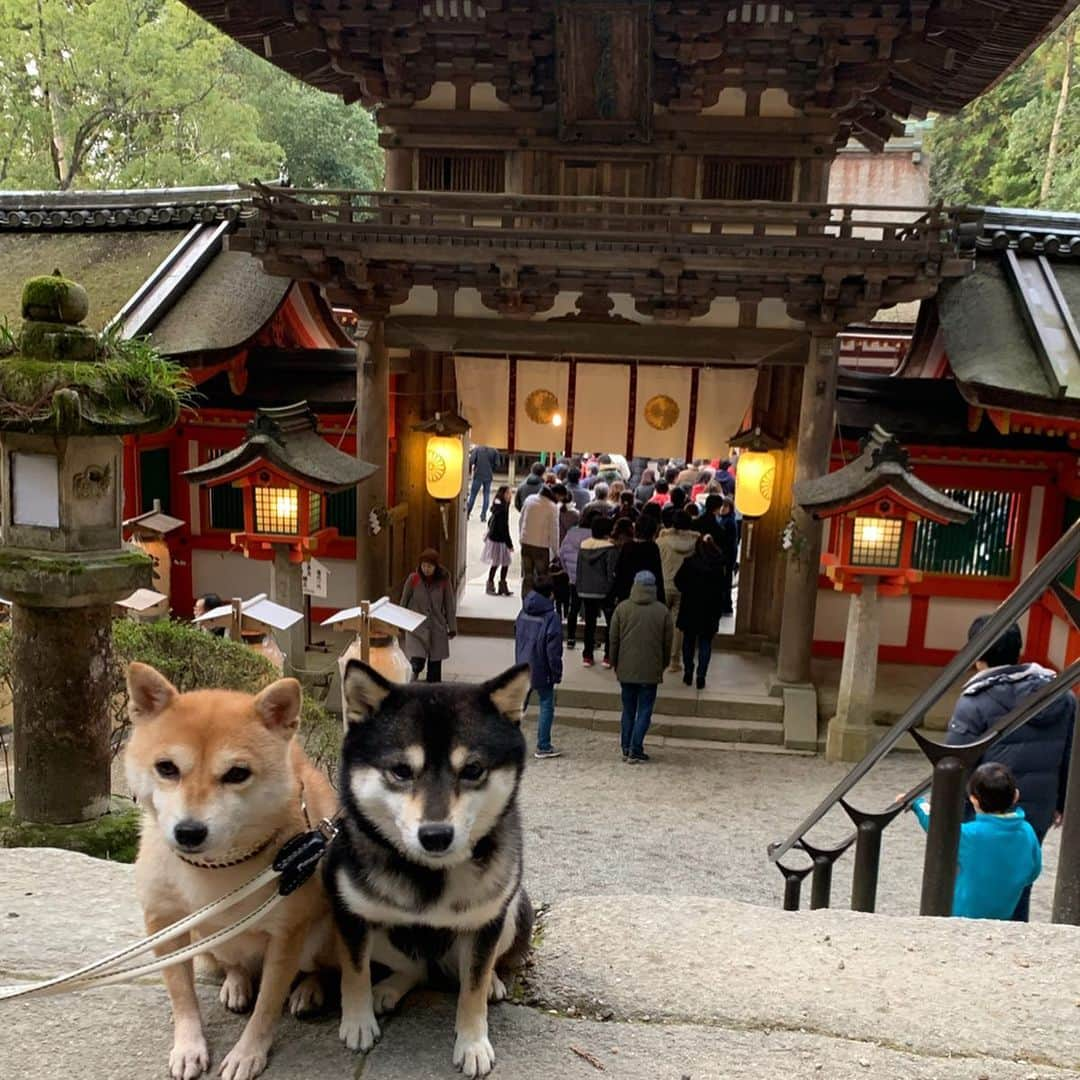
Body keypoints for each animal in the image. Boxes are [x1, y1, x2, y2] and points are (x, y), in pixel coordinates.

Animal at [121, 660, 336, 1075]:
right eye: (166, 768)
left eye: (237, 774)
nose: (189, 831)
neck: (216, 868)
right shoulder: (164, 921)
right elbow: (181, 995)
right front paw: (188, 1047)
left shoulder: (286, 934)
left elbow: (268, 1005)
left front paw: (247, 1054)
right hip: (209, 942)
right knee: (234, 964)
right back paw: (236, 985)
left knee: (317, 968)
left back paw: (308, 990)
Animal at [324, 660, 535, 1075]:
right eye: (401, 770)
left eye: (473, 769)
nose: (435, 835)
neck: (430, 875)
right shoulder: (350, 913)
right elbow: (354, 972)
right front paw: (357, 1021)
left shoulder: (488, 919)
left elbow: (473, 987)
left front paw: (472, 1042)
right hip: (384, 928)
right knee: (415, 969)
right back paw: (389, 988)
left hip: (516, 909)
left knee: (481, 966)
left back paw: (493, 982)